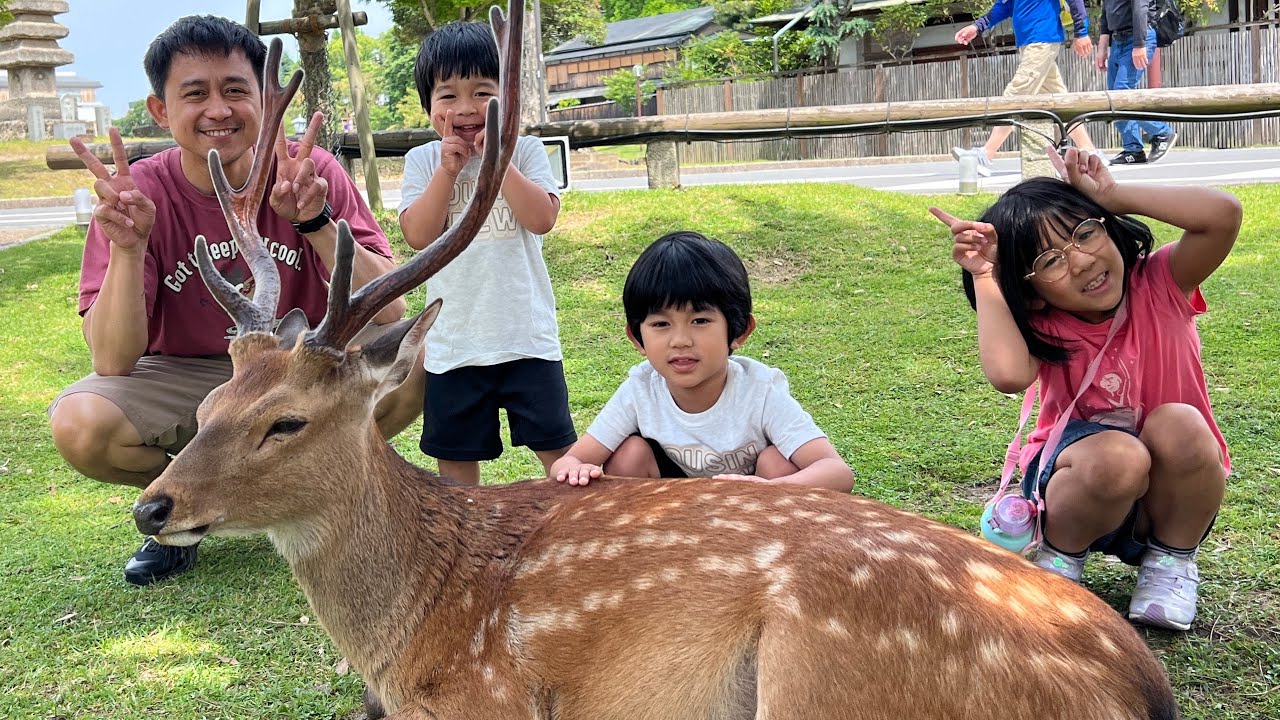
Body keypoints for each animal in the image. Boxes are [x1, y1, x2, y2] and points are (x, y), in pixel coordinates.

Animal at [131, 4, 1180, 718]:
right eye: (213, 404)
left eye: (286, 422)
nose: (153, 506)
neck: (411, 636)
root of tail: (1143, 687)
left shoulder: (489, 698)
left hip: (820, 675)